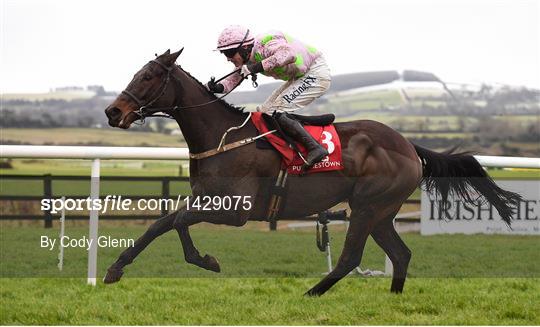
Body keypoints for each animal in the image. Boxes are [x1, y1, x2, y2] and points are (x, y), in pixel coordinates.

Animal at [103, 49, 520, 298]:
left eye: (148, 77)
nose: (112, 111)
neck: (224, 137)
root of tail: (409, 146)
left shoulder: (235, 210)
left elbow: (174, 222)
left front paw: (204, 260)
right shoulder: (206, 198)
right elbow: (164, 222)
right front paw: (116, 268)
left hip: (367, 207)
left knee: (351, 258)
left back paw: (312, 294)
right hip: (380, 212)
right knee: (401, 254)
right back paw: (393, 298)